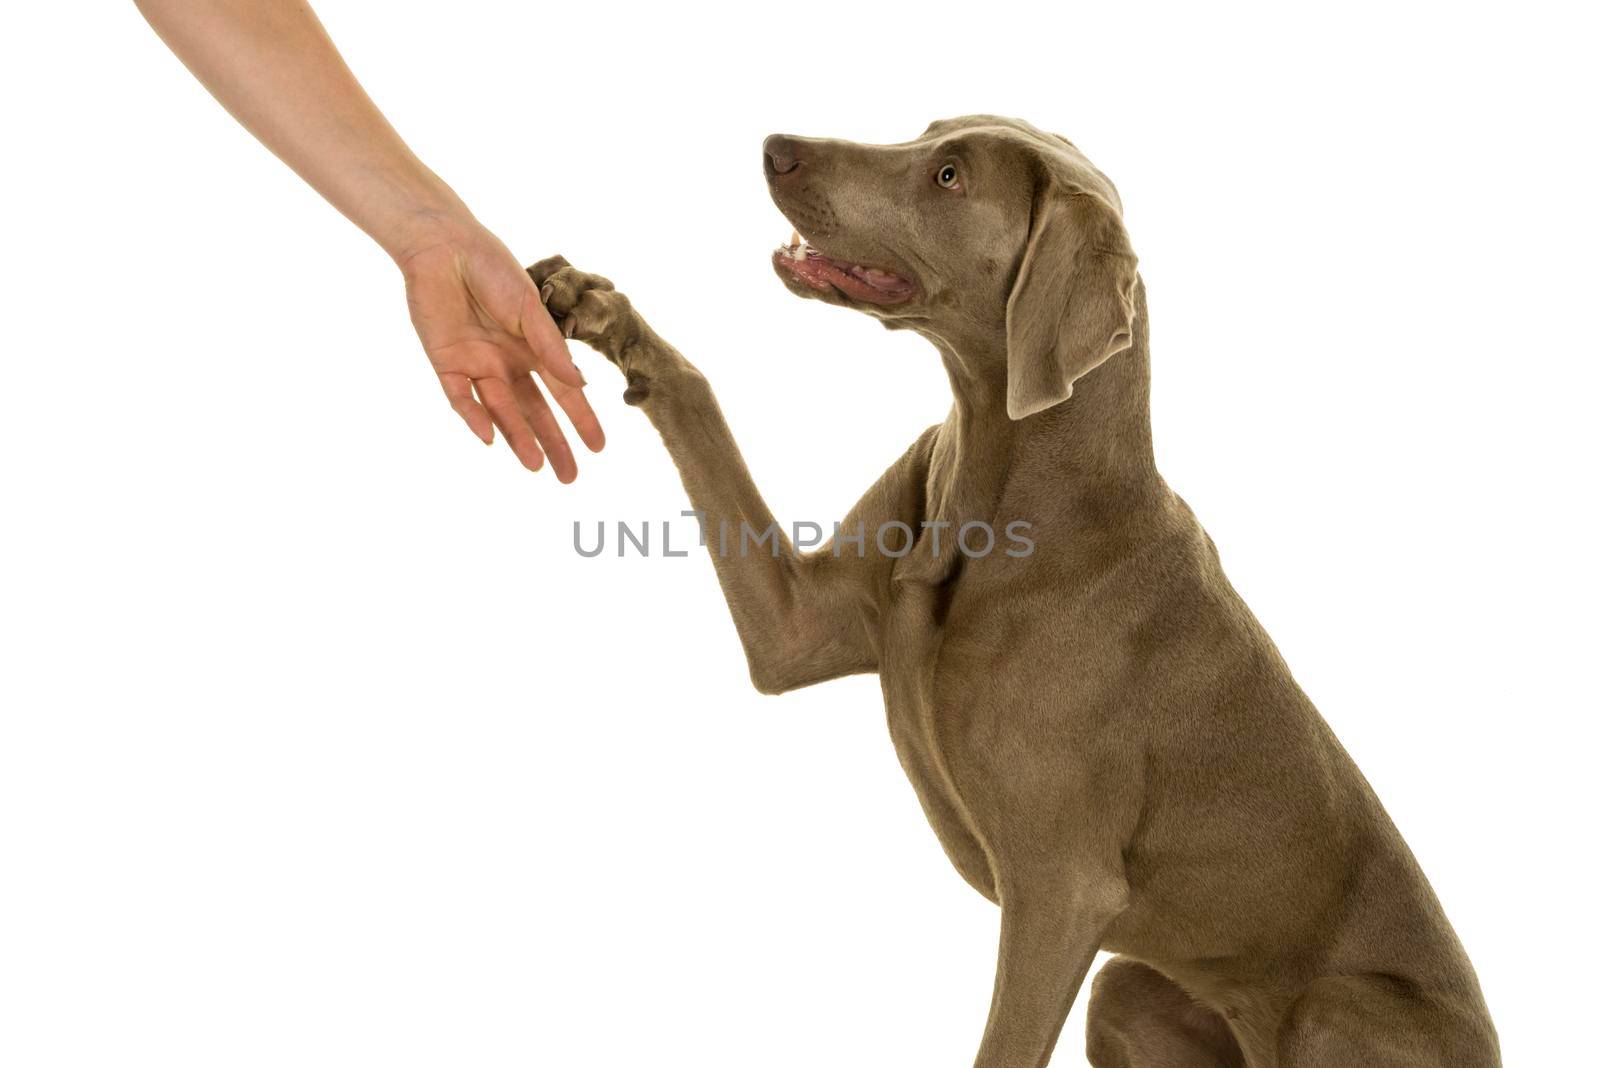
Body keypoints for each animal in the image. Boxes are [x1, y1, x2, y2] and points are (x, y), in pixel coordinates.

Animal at [524, 115, 1497, 1068]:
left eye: (951, 176)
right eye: (929, 133)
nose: (776, 147)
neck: (998, 491)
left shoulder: (1061, 892)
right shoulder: (794, 630)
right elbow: (697, 403)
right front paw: (591, 305)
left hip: (1330, 1007)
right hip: (1130, 989)